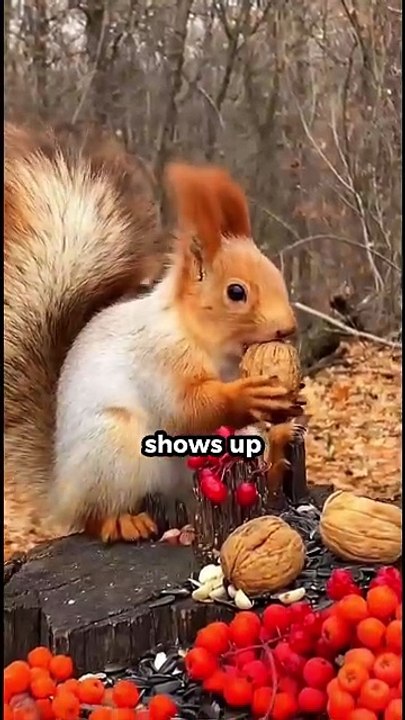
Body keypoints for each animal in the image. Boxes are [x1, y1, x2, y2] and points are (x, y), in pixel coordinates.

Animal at [5, 127, 302, 543]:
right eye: (236, 292)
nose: (288, 328)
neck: (209, 343)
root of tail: (61, 491)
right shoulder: (159, 355)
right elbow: (187, 408)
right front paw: (247, 395)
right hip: (112, 448)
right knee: (96, 515)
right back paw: (121, 521)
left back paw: (275, 455)